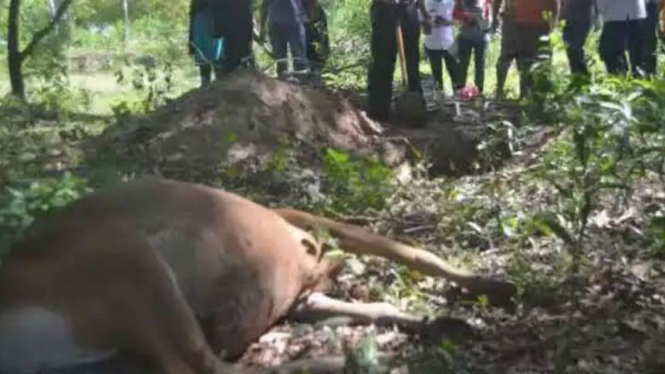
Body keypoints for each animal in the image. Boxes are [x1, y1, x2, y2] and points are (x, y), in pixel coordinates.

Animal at [0, 180, 512, 372]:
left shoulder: (304, 295)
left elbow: (379, 303)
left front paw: (444, 321)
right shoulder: (318, 224)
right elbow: (419, 252)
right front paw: (493, 286)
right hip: (125, 251)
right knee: (214, 369)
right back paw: (357, 358)